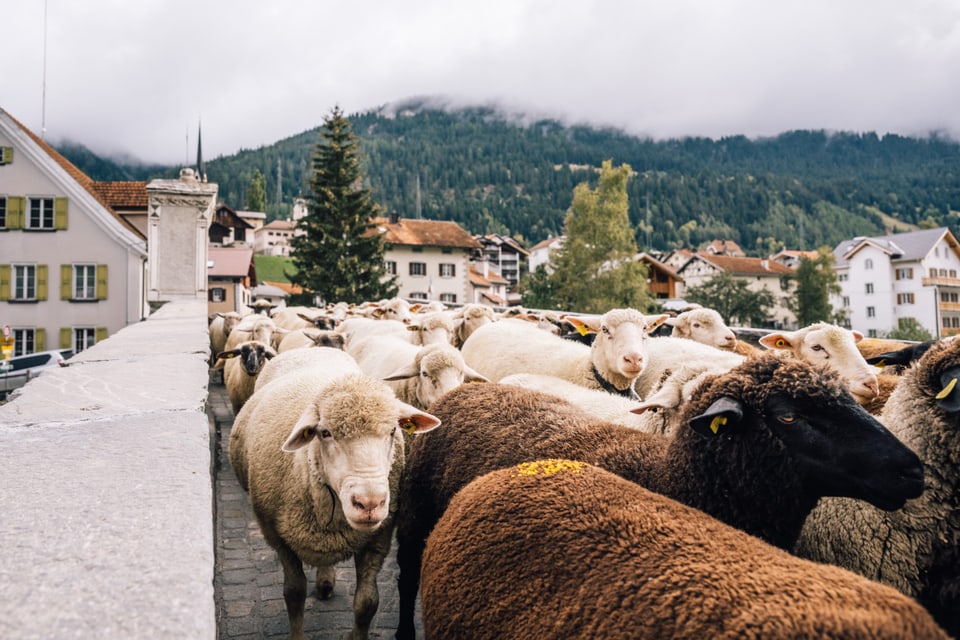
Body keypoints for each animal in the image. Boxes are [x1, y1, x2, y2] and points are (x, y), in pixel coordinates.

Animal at [231, 350, 440, 640]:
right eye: (325, 433)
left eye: (392, 431)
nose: (369, 503)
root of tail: (312, 349)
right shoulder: (278, 538)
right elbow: (294, 594)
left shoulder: (378, 538)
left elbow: (367, 603)